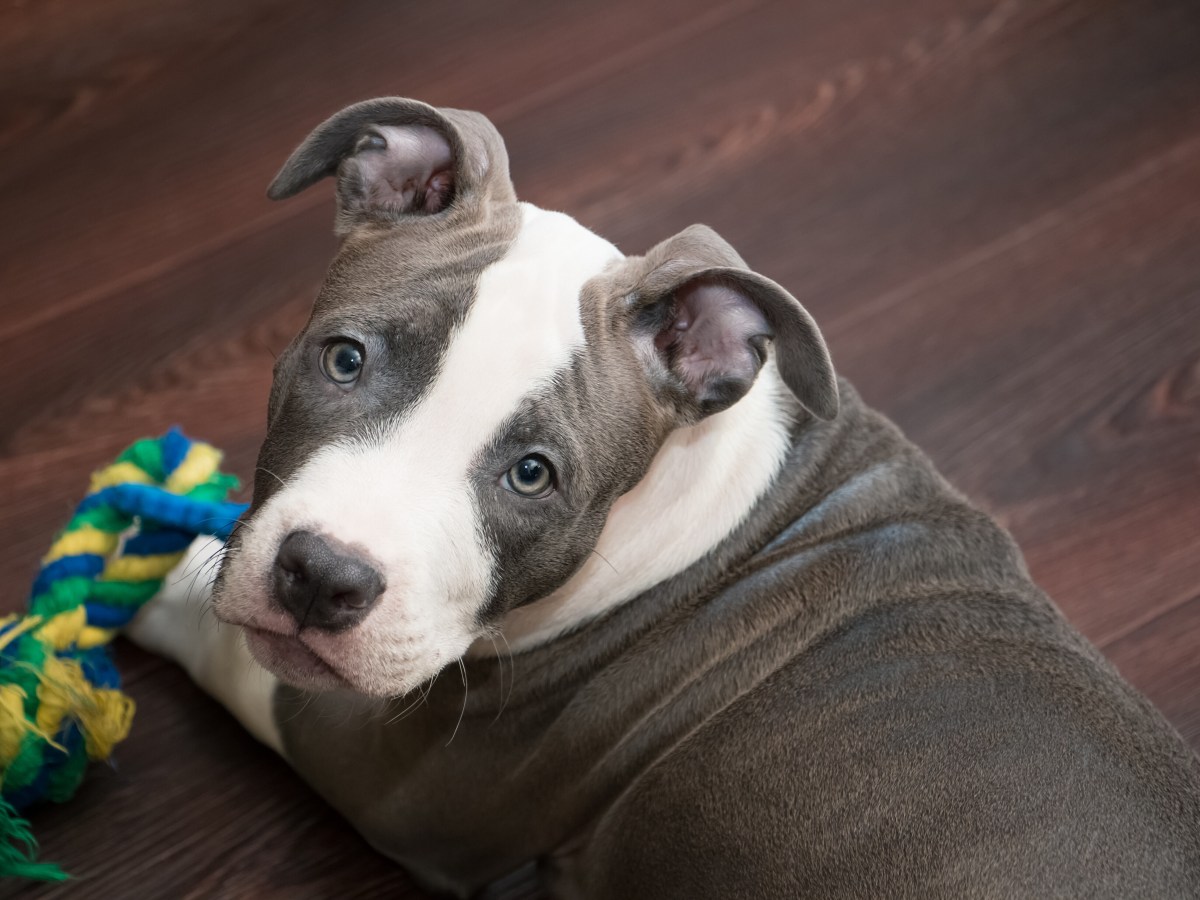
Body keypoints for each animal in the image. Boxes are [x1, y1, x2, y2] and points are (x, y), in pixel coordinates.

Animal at [131, 95, 1200, 897]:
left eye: (533, 474)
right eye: (344, 359)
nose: (321, 578)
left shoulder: (388, 771)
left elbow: (224, 644)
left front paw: (149, 566)